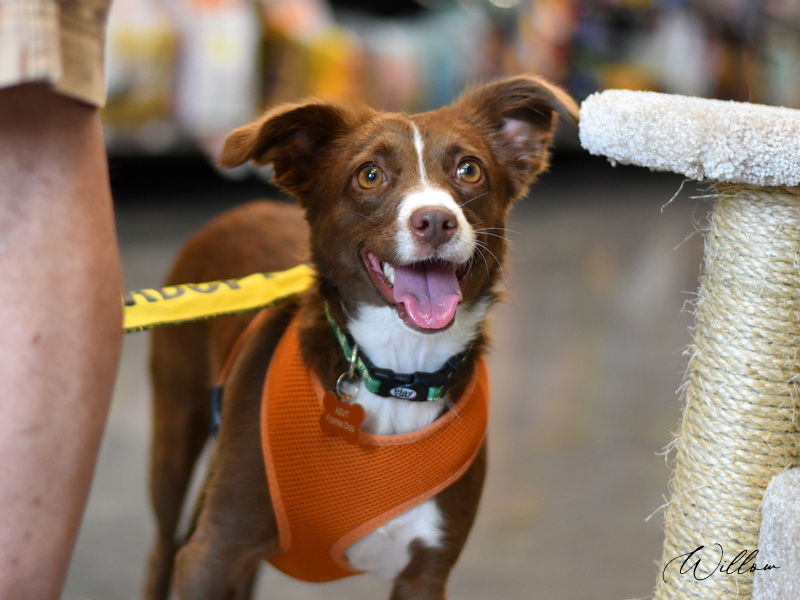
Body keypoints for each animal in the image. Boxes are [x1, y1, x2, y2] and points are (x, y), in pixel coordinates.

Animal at [144, 76, 580, 600]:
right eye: (369, 175)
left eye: (469, 169)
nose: (436, 221)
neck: (398, 373)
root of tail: (237, 212)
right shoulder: (213, 554)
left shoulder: (425, 573)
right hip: (175, 429)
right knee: (162, 547)